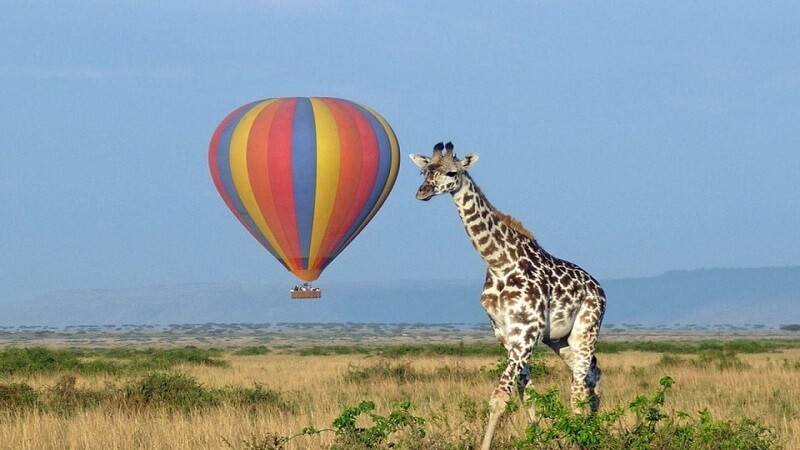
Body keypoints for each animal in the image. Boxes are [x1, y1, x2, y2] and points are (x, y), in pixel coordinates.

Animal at [412, 142, 608, 450]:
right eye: (424, 171)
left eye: (452, 172)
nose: (423, 192)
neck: (499, 262)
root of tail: (599, 288)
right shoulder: (505, 334)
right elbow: (528, 396)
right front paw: (538, 442)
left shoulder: (525, 333)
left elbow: (499, 397)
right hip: (560, 340)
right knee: (591, 374)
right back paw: (592, 430)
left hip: (586, 329)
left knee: (577, 388)